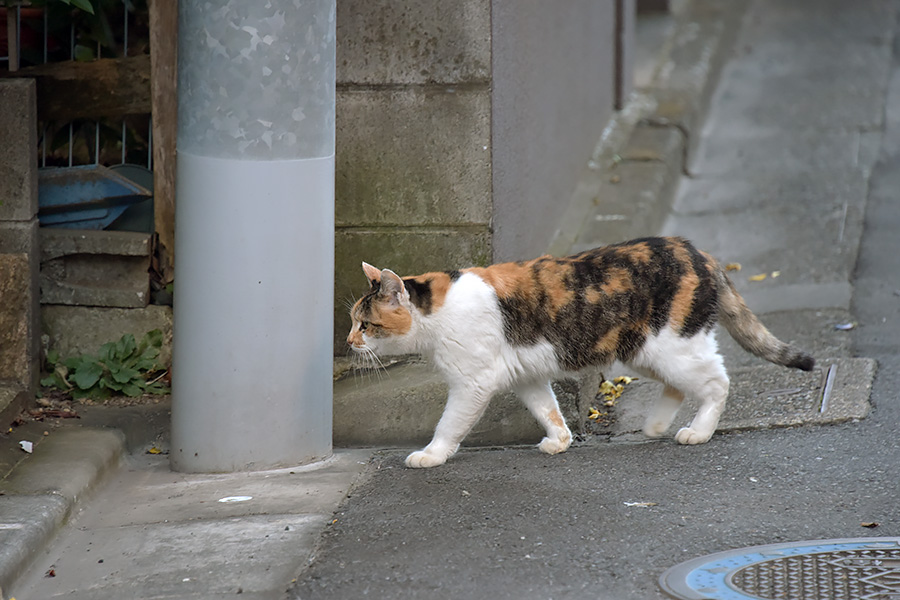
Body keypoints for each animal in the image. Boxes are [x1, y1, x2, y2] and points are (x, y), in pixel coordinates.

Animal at [350, 236, 816, 468]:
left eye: (366, 324)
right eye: (353, 321)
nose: (349, 343)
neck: (436, 313)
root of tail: (699, 252)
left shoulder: (472, 383)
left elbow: (449, 424)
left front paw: (431, 455)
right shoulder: (526, 376)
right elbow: (548, 409)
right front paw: (560, 441)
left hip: (673, 347)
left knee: (717, 381)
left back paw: (698, 431)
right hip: (643, 351)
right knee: (683, 385)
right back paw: (656, 425)